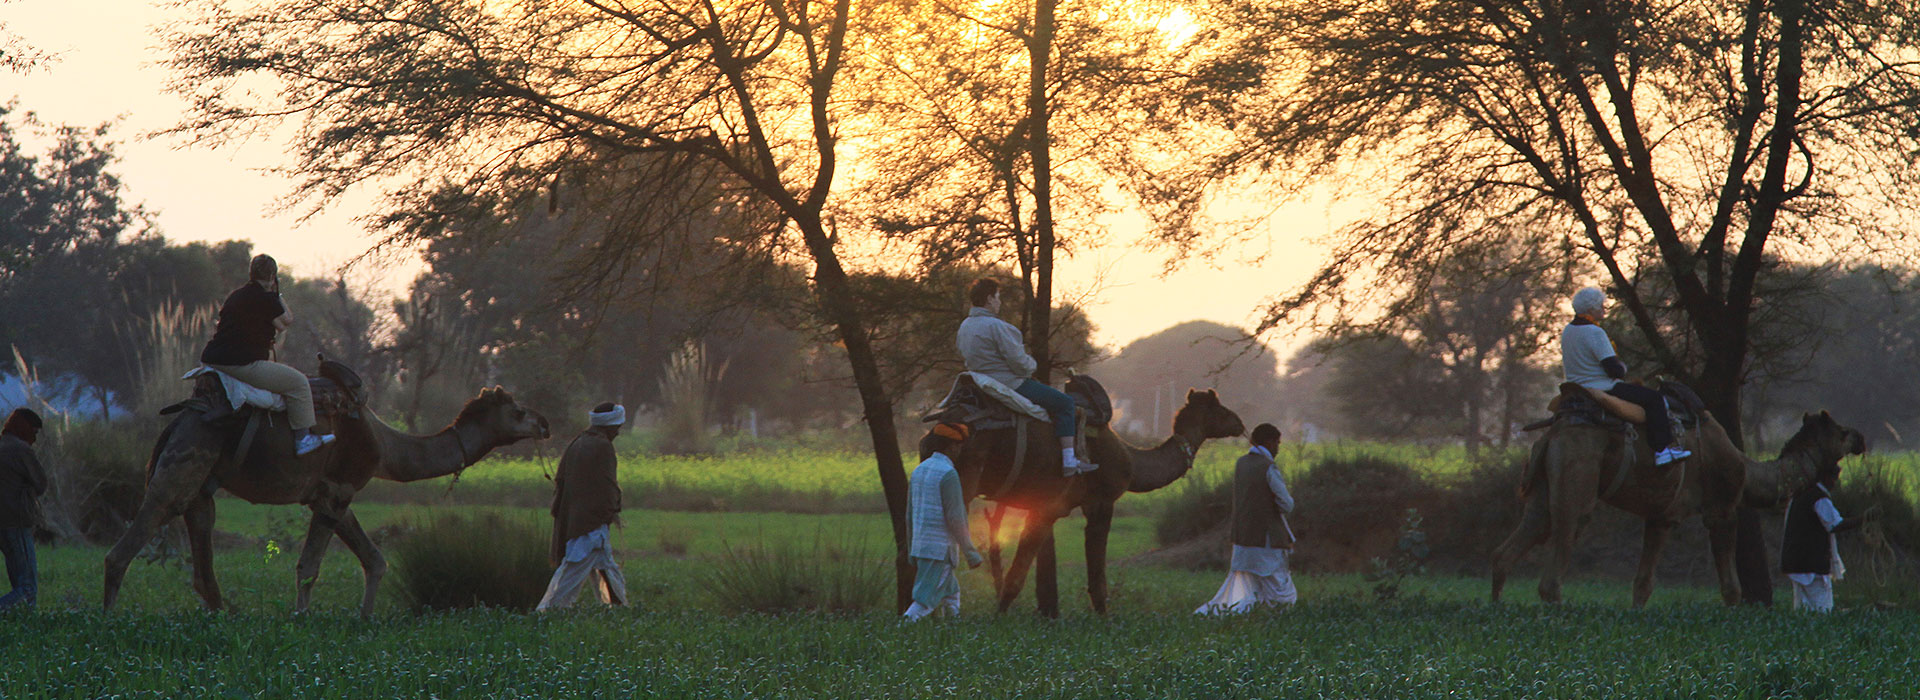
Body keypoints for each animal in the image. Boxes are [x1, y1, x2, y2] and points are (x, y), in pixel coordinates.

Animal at [103, 362, 549, 613]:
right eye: (518, 411)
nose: (544, 423)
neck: (385, 447)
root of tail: (180, 419)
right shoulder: (338, 489)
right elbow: (308, 568)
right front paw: (301, 619)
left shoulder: (334, 494)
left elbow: (375, 560)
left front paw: (365, 618)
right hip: (185, 461)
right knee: (128, 543)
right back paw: (109, 619)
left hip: (201, 486)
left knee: (202, 559)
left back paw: (222, 616)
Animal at [925, 383, 1244, 613]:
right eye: (1220, 409)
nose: (1241, 423)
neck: (1131, 460)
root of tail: (942, 425)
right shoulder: (1098, 502)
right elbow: (1093, 577)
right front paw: (1104, 618)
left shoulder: (1047, 508)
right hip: (965, 477)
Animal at [1489, 381, 1866, 606]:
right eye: (1841, 431)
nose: (1861, 438)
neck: (1746, 471)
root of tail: (1552, 434)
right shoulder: (1722, 507)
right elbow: (1731, 588)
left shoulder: (1662, 516)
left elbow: (1643, 584)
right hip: (1578, 470)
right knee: (1564, 540)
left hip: (1543, 486)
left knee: (1514, 544)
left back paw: (1497, 608)